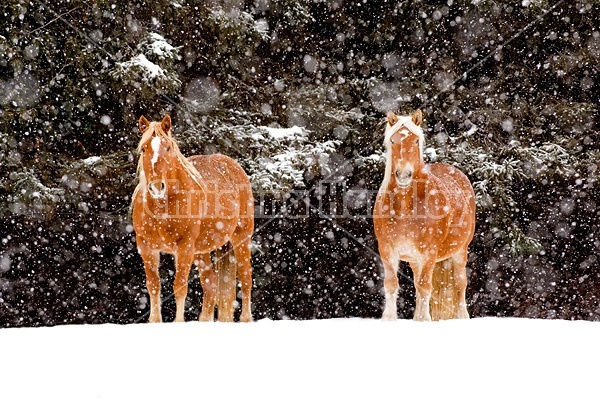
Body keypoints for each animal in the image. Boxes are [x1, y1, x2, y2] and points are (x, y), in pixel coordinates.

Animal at [131, 115, 253, 324]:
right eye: (144, 148)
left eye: (168, 147)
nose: (157, 187)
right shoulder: (146, 246)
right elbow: (153, 285)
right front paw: (155, 321)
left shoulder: (184, 246)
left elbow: (179, 285)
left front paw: (178, 322)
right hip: (201, 250)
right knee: (210, 282)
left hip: (241, 238)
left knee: (245, 277)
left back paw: (246, 319)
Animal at [372, 110, 476, 322]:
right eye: (392, 141)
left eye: (416, 140)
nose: (403, 175)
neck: (405, 207)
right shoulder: (387, 249)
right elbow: (392, 284)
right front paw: (390, 318)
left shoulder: (429, 252)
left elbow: (426, 286)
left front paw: (424, 320)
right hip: (414, 259)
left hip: (460, 251)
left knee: (460, 283)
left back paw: (462, 316)